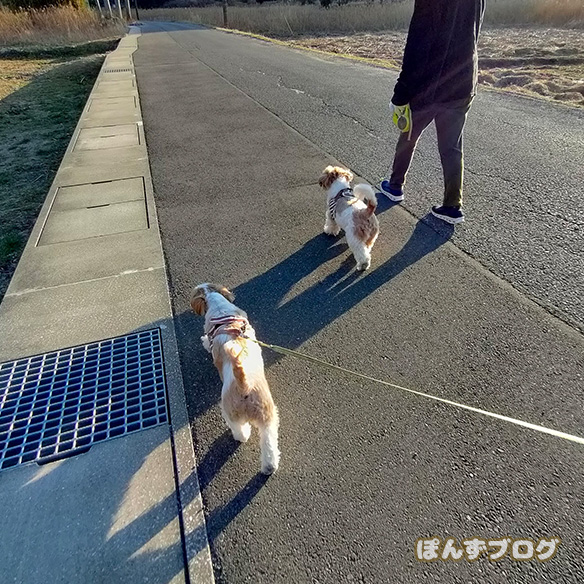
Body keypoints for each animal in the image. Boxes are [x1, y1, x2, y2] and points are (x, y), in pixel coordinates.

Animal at [191, 283, 280, 475]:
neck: (220, 309)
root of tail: (244, 385)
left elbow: (206, 340)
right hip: (268, 417)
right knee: (269, 442)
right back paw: (269, 467)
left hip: (230, 412)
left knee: (240, 430)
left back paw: (240, 437)